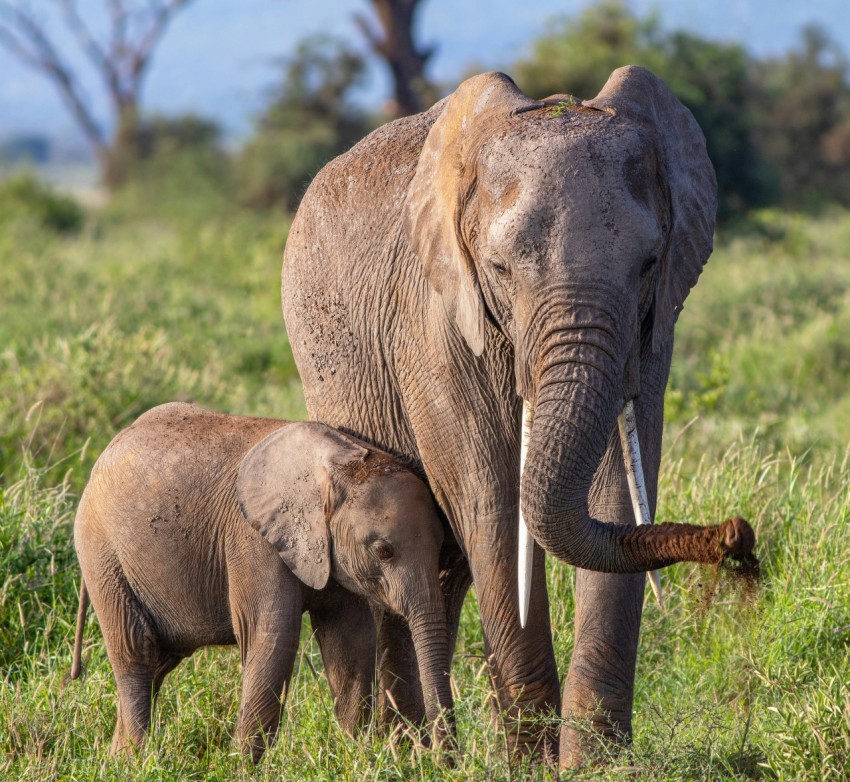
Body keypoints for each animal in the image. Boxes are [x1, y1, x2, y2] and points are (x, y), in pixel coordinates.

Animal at [72, 404, 454, 764]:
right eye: (383, 551)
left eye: (442, 545)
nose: (445, 760)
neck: (338, 463)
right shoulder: (253, 540)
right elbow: (272, 637)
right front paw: (242, 768)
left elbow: (352, 642)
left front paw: (357, 756)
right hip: (102, 555)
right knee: (136, 654)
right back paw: (136, 761)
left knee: (157, 663)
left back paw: (116, 759)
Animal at [282, 66, 724, 764]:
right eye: (499, 268)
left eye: (650, 263)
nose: (736, 534)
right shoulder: (438, 322)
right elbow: (491, 501)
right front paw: (533, 763)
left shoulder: (653, 331)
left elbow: (620, 495)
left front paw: (597, 765)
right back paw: (408, 755)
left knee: (443, 575)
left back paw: (431, 751)